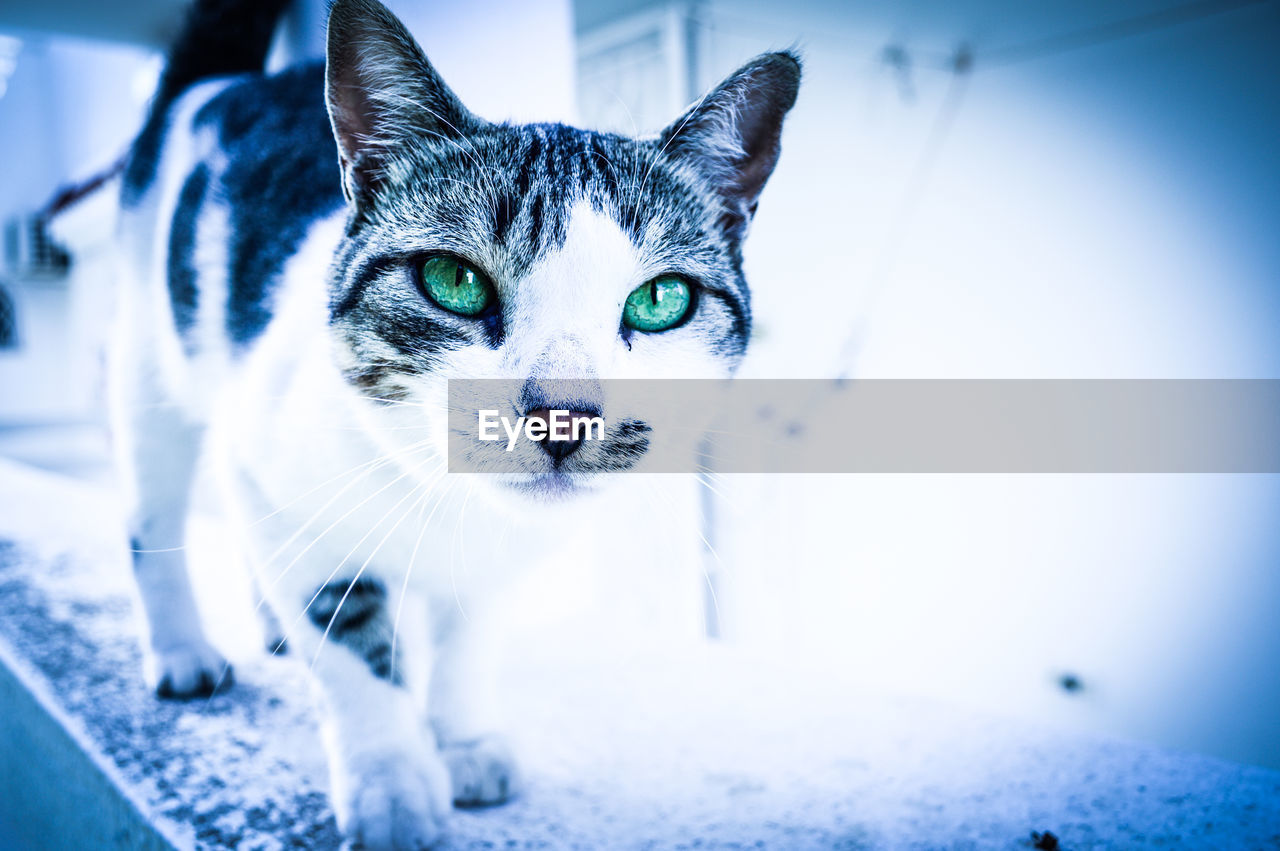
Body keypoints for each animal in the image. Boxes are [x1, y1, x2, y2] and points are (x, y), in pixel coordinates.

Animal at [110, 0, 793, 839]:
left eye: (661, 299)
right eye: (452, 281)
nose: (563, 416)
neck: (444, 506)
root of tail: (225, 86)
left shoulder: (499, 560)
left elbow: (469, 634)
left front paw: (462, 741)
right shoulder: (271, 476)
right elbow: (349, 643)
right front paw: (392, 783)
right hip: (150, 369)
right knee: (151, 518)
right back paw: (183, 651)